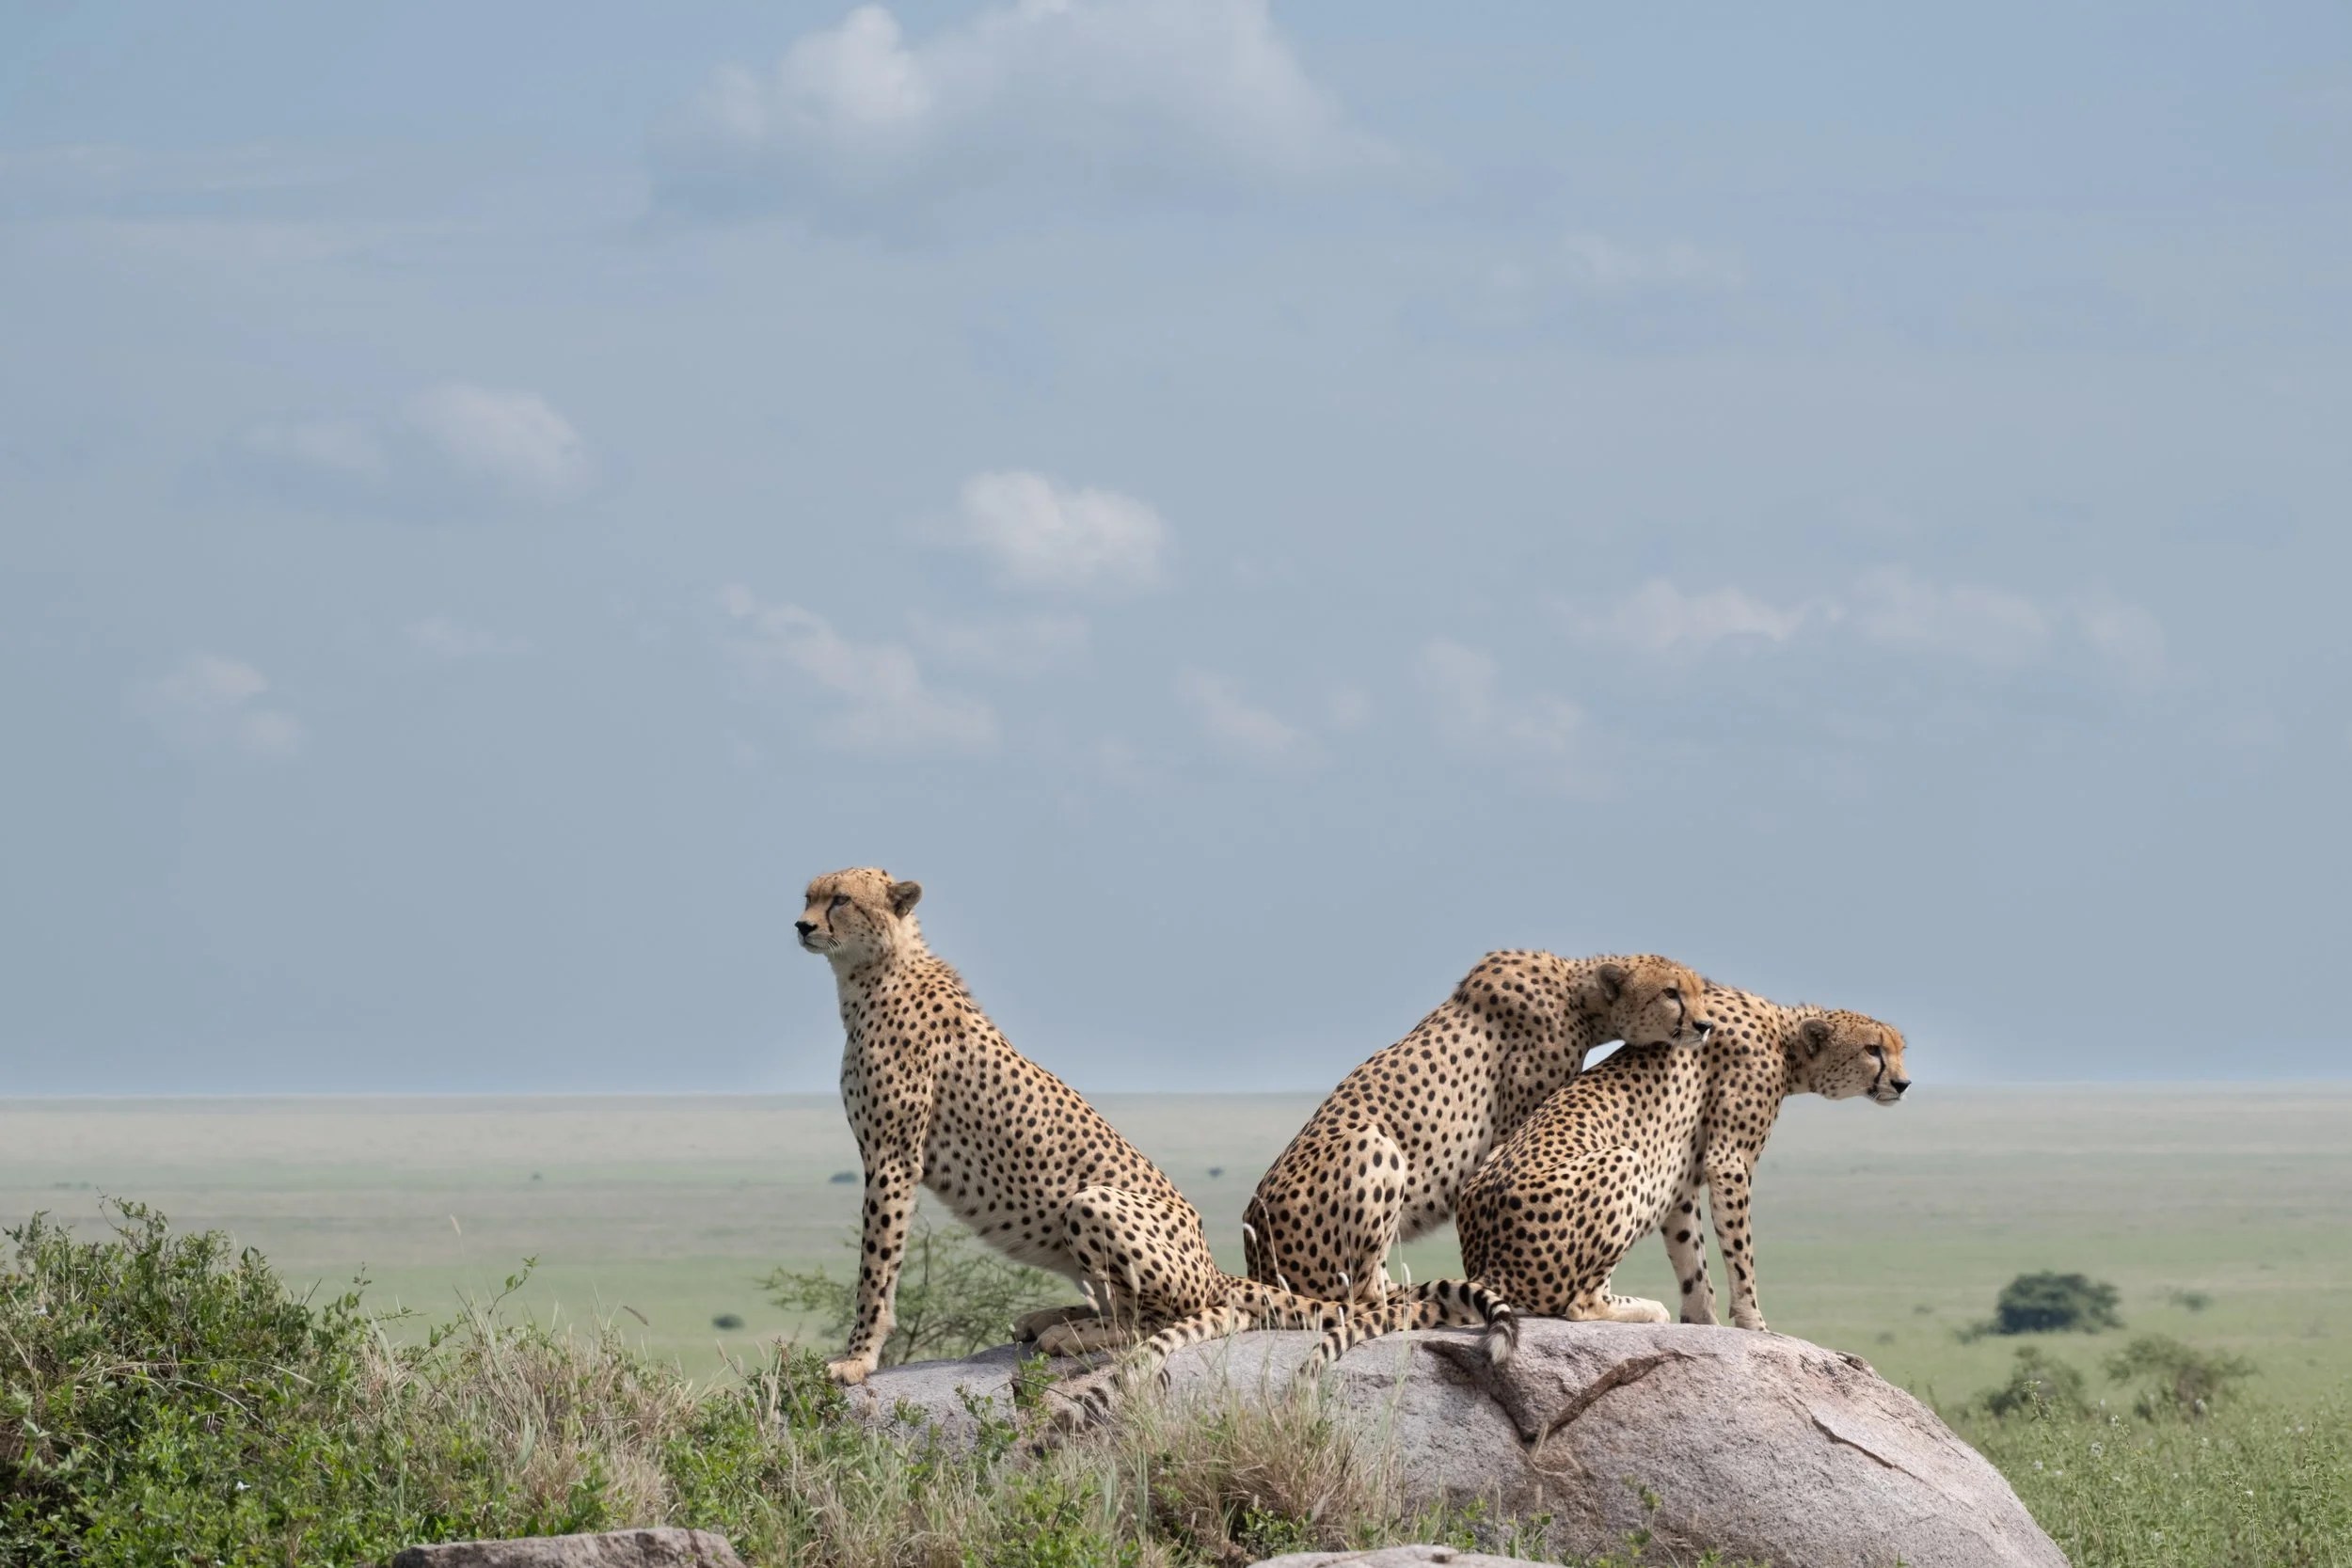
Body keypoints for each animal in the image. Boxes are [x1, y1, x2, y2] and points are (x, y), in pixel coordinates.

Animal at [795, 867, 1517, 1417]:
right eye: (808, 893)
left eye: (841, 899)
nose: (800, 925)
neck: (873, 972)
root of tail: (1215, 1265)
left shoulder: (892, 1158)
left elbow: (876, 1267)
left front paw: (857, 1359)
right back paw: (1054, 1316)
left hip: (1091, 1201)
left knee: (1159, 1317)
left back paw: (1075, 1332)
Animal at [1242, 951, 1714, 1306]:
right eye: (1671, 993)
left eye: (1699, 991)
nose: (1705, 1025)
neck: (1577, 995)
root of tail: (1255, 1255)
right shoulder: (1516, 1128)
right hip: (1372, 1144)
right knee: (1362, 1293)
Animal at [1310, 982, 1908, 1363]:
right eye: (1873, 1050)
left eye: (1899, 1048)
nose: (1903, 1084)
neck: (1785, 1036)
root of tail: (1486, 1265)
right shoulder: (1728, 1162)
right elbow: (1741, 1257)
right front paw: (1756, 1327)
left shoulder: (1679, 1179)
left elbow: (1692, 1260)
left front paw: (1706, 1323)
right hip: (1625, 1160)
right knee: (1576, 1303)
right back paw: (1642, 1308)